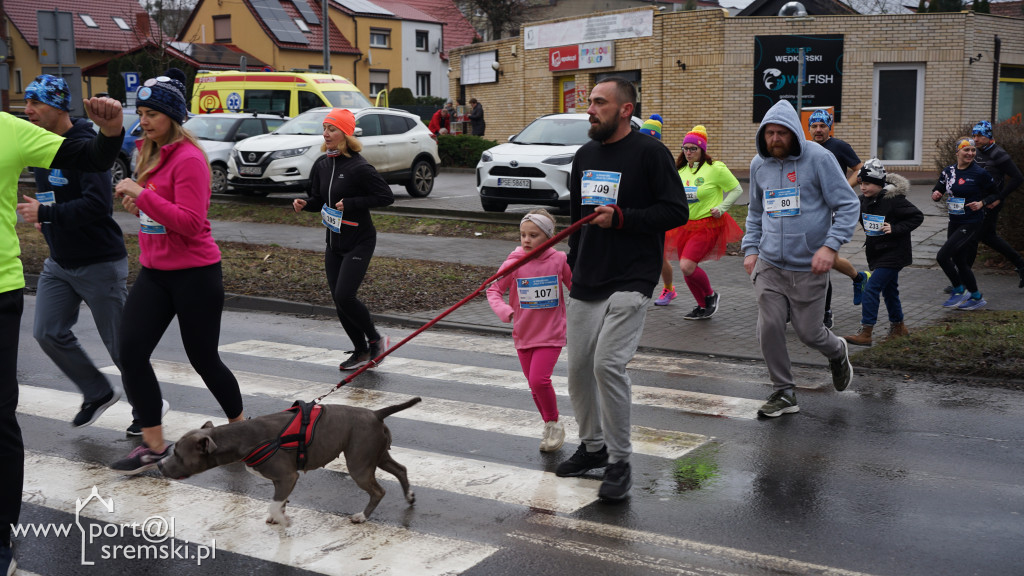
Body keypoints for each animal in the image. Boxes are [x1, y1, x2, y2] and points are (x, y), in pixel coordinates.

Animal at [156, 397, 419, 522]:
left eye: (178, 454)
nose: (159, 464)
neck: (243, 436)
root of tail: (376, 413)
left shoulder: (287, 476)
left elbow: (274, 503)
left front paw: (282, 521)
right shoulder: (280, 480)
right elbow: (279, 501)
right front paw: (279, 517)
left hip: (359, 464)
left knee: (378, 491)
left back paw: (362, 517)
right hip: (376, 454)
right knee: (401, 469)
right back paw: (409, 496)